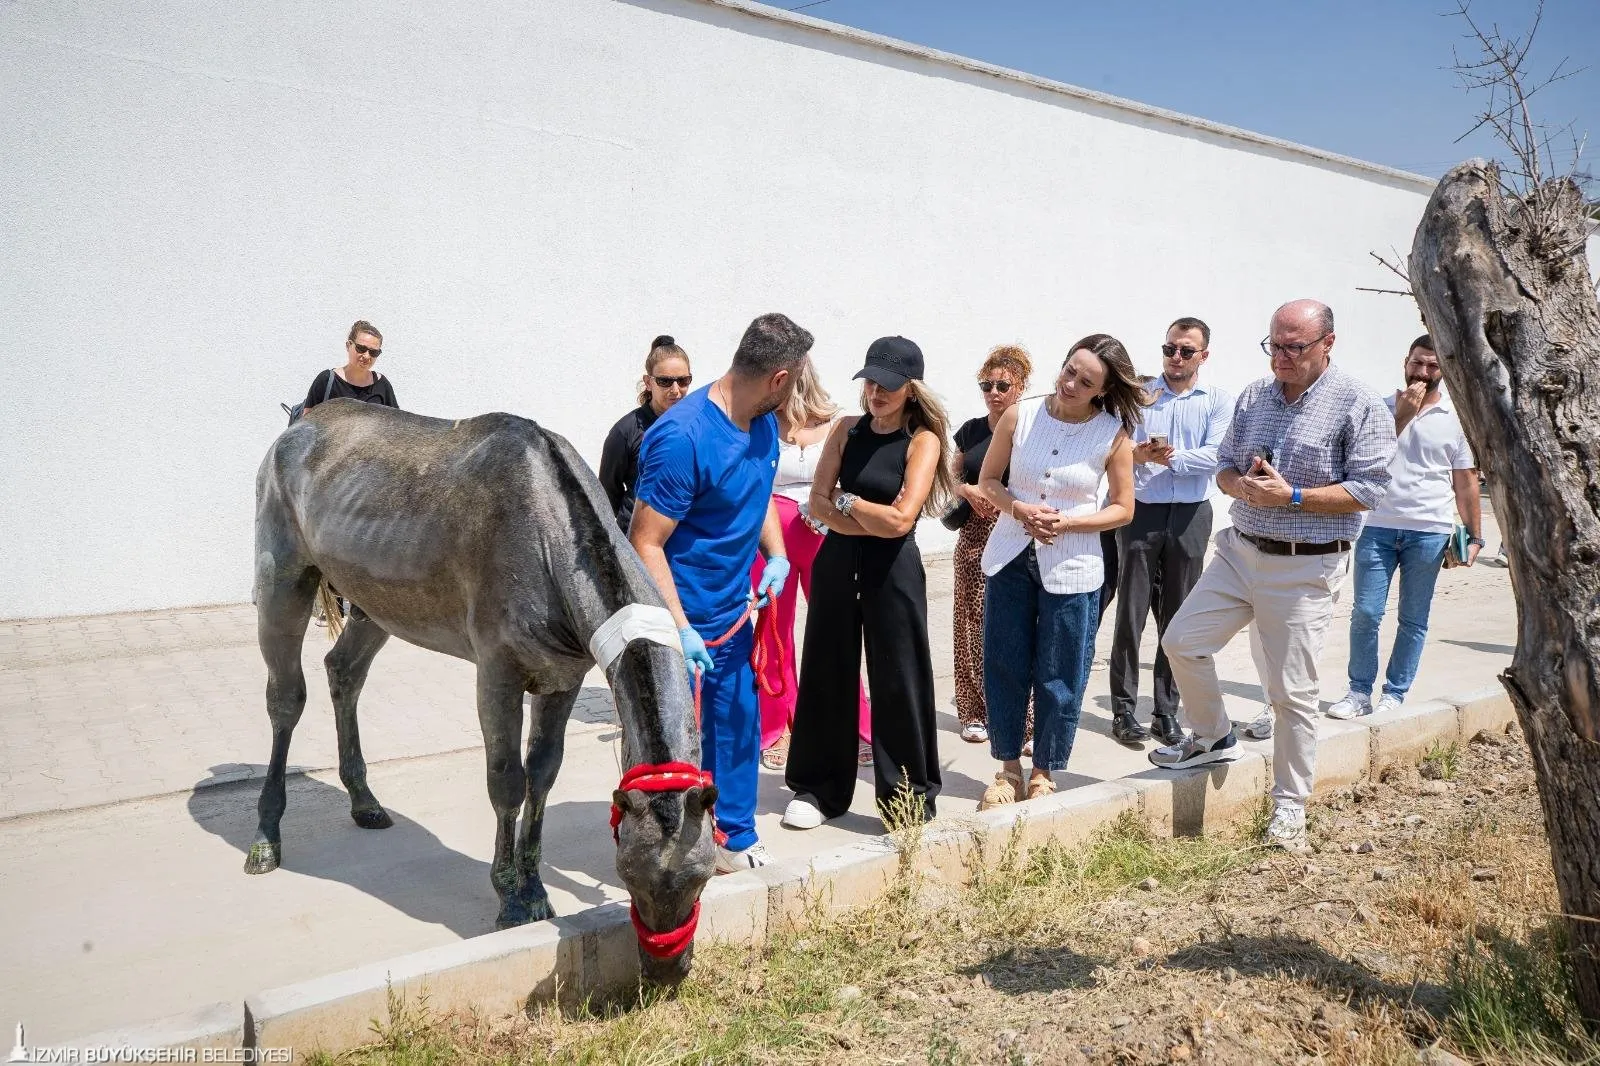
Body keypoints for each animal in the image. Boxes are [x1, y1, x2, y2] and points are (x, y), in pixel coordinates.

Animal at [244, 398, 720, 979]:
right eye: (629, 873)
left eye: (700, 877)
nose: (666, 971)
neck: (549, 535)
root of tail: (301, 422)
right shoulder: (497, 673)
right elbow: (507, 782)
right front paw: (510, 897)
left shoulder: (563, 679)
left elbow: (543, 775)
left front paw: (534, 886)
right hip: (283, 580)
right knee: (286, 698)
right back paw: (266, 836)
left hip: (378, 602)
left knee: (344, 671)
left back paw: (364, 800)